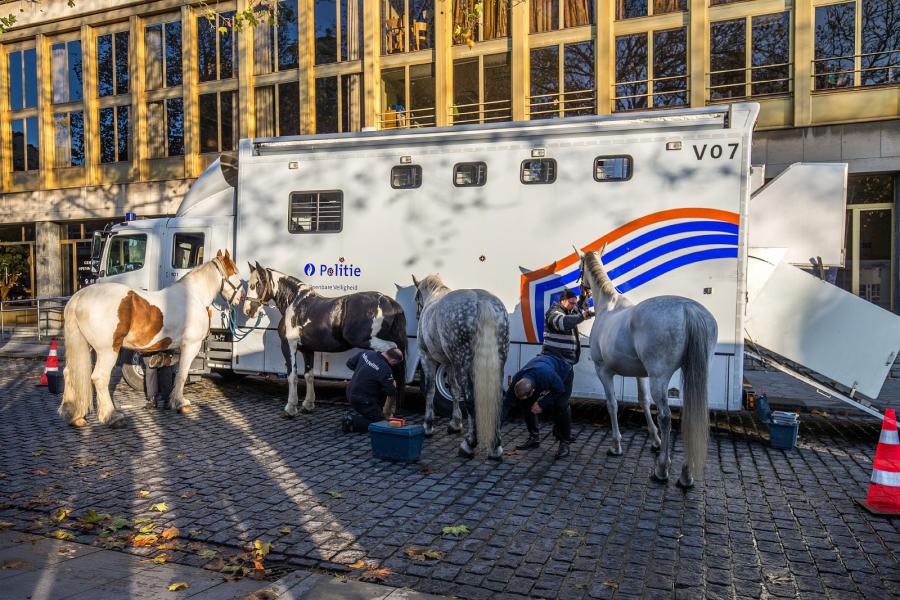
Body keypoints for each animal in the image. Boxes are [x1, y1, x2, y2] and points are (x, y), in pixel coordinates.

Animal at [59, 248, 243, 426]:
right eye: (235, 271)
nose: (241, 299)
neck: (194, 297)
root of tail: (80, 296)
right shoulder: (191, 345)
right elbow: (182, 374)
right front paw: (180, 403)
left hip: (86, 346)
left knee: (68, 372)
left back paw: (74, 416)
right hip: (108, 350)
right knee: (100, 378)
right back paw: (112, 417)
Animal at [241, 262, 406, 418]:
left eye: (256, 284)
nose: (247, 310)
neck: (295, 304)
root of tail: (389, 302)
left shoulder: (289, 346)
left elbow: (292, 376)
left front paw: (290, 408)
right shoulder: (307, 349)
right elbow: (309, 376)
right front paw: (308, 405)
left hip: (371, 342)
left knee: (393, 356)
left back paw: (386, 411)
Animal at [576, 248, 716, 488]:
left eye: (579, 267)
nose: (581, 297)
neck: (608, 305)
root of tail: (689, 309)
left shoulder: (603, 371)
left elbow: (612, 404)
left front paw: (616, 445)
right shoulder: (640, 374)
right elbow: (643, 401)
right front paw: (655, 440)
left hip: (659, 377)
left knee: (666, 416)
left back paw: (662, 469)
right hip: (692, 375)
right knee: (690, 416)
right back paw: (685, 474)